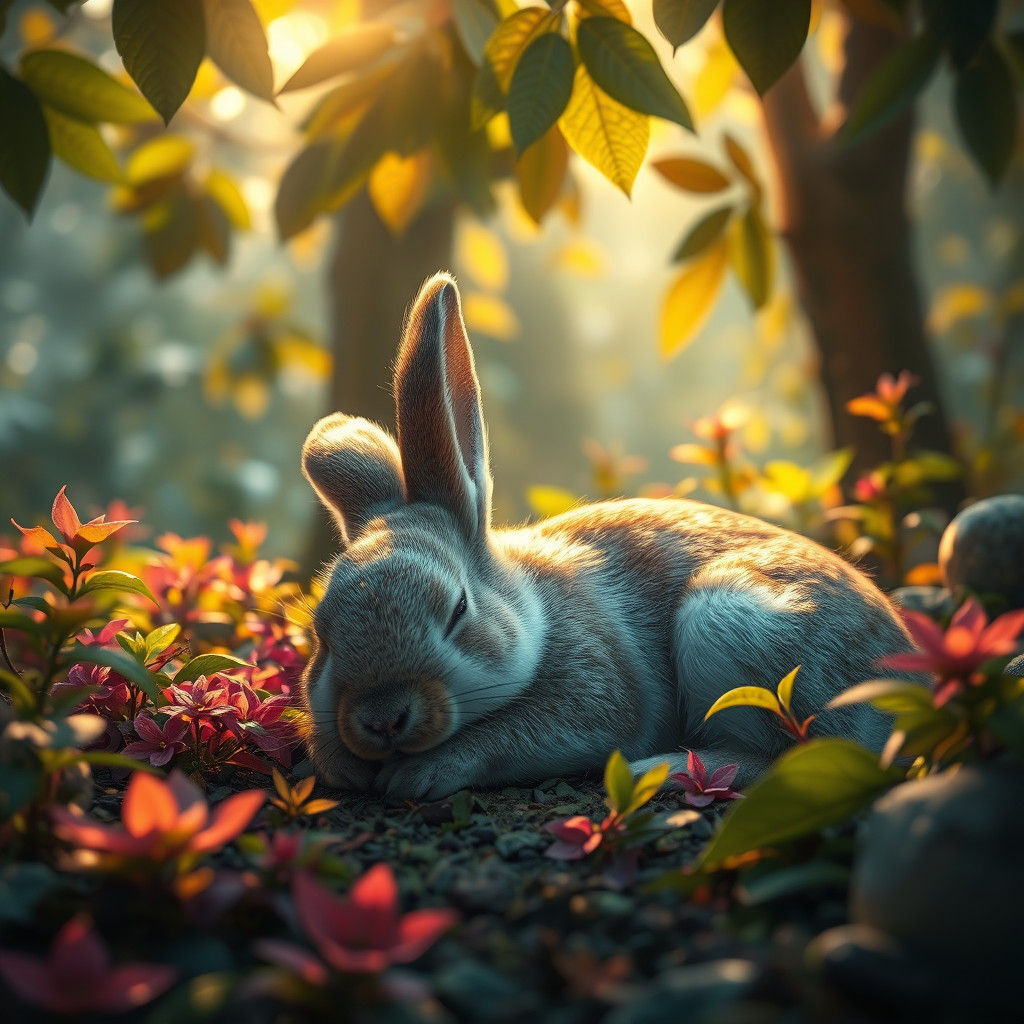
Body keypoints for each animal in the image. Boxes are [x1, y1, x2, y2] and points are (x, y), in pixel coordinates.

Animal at [299, 272, 912, 802]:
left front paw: (418, 775)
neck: (536, 611)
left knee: (799, 754)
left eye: (457, 612)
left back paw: (659, 769)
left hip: (730, 622)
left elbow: (514, 735)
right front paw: (343, 765)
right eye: (321, 636)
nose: (381, 718)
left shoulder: (594, 690)